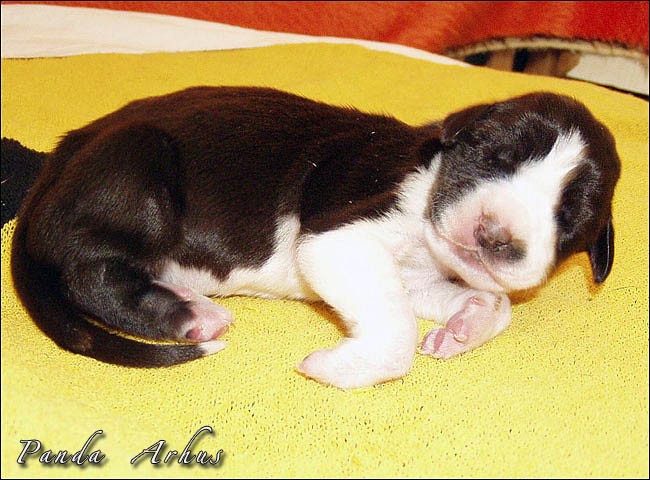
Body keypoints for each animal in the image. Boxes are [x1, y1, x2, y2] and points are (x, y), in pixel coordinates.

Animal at [11, 87, 620, 389]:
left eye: (570, 215)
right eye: (496, 157)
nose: (495, 236)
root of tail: (64, 152)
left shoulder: (415, 273)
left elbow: (491, 303)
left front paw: (464, 326)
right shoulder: (341, 239)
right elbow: (396, 329)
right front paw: (336, 370)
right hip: (143, 168)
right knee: (88, 272)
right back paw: (191, 317)